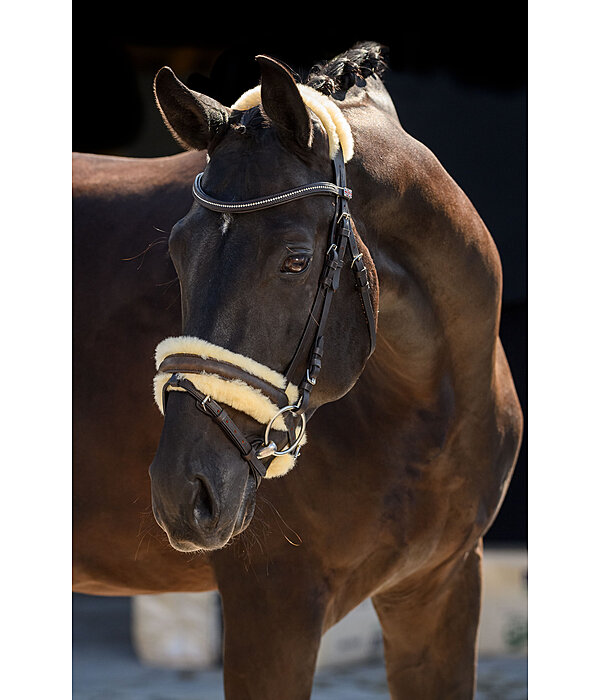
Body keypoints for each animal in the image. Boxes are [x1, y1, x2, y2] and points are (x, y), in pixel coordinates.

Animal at [72, 43, 524, 700]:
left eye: (296, 261)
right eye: (178, 252)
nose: (183, 491)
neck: (429, 408)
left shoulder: (440, 587)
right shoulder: (274, 604)